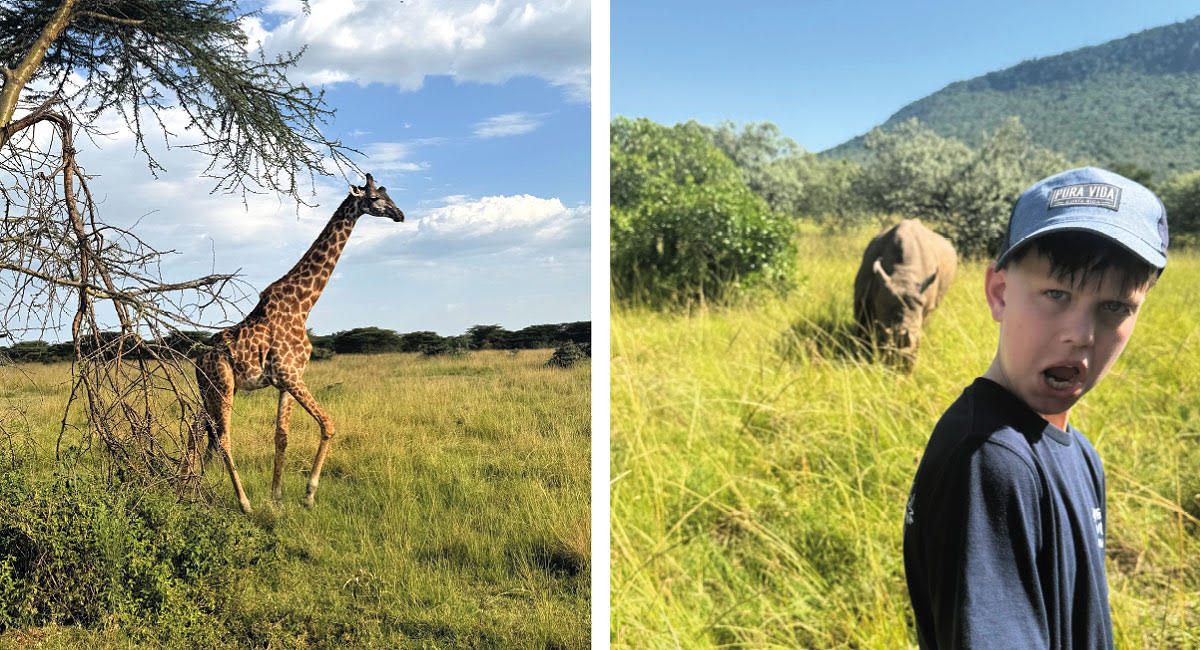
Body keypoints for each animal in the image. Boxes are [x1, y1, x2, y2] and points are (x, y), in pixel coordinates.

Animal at [190, 174, 404, 513]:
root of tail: (198, 359)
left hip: (210, 388)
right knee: (222, 436)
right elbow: (328, 424)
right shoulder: (291, 375)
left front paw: (277, 497)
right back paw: (243, 502)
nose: (400, 214)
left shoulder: (288, 380)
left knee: (199, 430)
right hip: (222, 384)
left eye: (388, 195)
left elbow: (281, 436)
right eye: (374, 198)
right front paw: (309, 494)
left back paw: (192, 487)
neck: (303, 305)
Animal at [853, 219, 957, 365]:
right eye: (885, 332)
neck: (905, 273)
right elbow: (863, 327)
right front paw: (861, 356)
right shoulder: (863, 296)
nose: (904, 362)